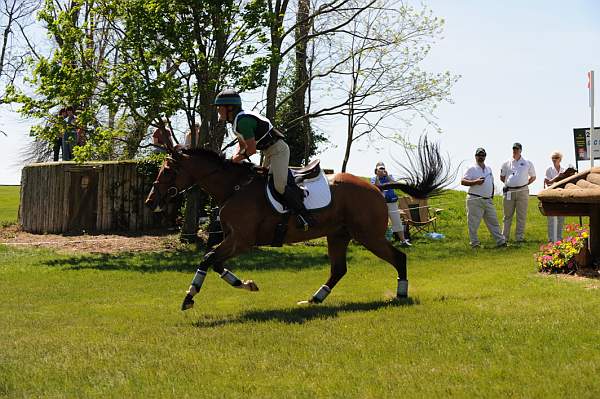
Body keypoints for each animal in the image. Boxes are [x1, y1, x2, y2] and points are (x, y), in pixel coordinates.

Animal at [146, 136, 450, 310]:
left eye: (168, 170)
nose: (150, 201)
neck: (234, 187)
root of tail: (376, 186)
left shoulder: (242, 240)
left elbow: (208, 258)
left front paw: (189, 296)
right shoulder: (233, 239)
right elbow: (215, 261)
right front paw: (247, 284)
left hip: (368, 235)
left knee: (398, 257)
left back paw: (400, 294)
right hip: (338, 235)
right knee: (338, 270)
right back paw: (314, 299)